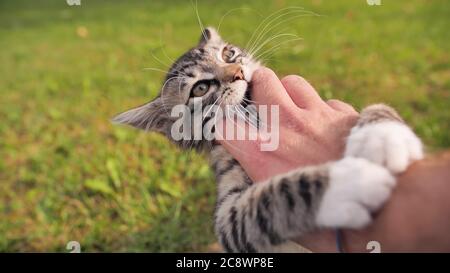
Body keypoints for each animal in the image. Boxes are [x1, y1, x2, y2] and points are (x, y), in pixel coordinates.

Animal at [112, 27, 422, 251]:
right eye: (200, 88)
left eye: (229, 53)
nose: (238, 72)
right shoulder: (229, 220)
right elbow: (277, 195)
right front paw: (349, 183)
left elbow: (370, 109)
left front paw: (384, 134)